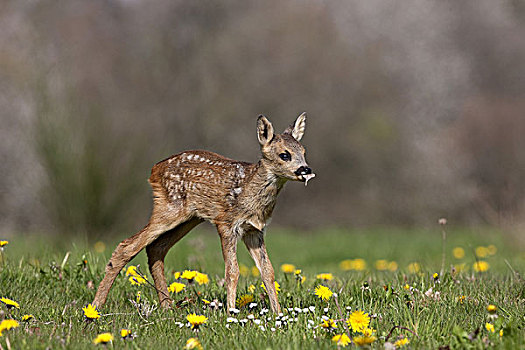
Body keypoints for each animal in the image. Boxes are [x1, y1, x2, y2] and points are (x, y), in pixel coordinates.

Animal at [91, 113, 314, 314]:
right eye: (285, 154)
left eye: (303, 151)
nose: (305, 169)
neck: (249, 193)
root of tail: (154, 170)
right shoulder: (226, 223)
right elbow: (232, 271)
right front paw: (231, 313)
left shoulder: (254, 230)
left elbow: (268, 271)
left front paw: (278, 314)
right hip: (169, 208)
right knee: (127, 246)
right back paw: (95, 307)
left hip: (189, 218)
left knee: (155, 248)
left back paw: (167, 307)